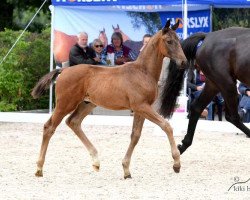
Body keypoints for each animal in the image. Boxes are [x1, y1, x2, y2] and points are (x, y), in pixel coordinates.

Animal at [31, 20, 187, 179]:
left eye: (178, 40)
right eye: (169, 41)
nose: (184, 62)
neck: (143, 72)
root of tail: (64, 70)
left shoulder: (141, 109)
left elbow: (135, 135)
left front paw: (126, 169)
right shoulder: (141, 106)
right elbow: (166, 126)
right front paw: (176, 163)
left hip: (87, 104)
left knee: (73, 122)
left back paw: (96, 161)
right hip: (65, 104)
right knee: (49, 127)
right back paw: (39, 168)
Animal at [160, 27, 250, 155]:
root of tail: (208, 36)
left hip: (214, 84)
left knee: (196, 107)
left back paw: (183, 146)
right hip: (226, 82)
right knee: (232, 117)